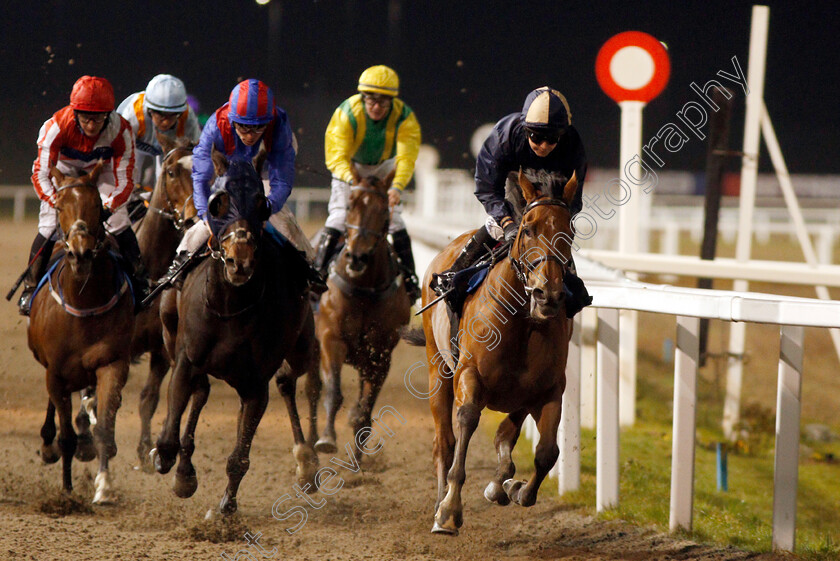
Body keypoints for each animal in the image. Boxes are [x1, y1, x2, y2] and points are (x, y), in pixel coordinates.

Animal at [26, 162, 136, 504]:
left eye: (98, 205)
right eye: (61, 206)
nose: (81, 253)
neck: (84, 299)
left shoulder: (111, 363)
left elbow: (105, 427)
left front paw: (103, 485)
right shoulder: (56, 372)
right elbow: (66, 437)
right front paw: (66, 492)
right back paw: (48, 444)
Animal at [151, 151, 322, 516]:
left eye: (260, 203)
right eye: (218, 202)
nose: (239, 259)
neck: (230, 305)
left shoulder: (256, 384)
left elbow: (239, 457)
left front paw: (226, 507)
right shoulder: (186, 359)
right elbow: (172, 430)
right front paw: (171, 462)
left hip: (300, 346)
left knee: (294, 376)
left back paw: (307, 461)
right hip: (171, 330)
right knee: (200, 391)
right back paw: (183, 469)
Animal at [312, 171, 410, 456]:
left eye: (384, 212)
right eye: (350, 206)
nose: (357, 257)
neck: (364, 290)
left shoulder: (380, 355)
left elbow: (364, 411)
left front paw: (357, 454)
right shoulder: (330, 339)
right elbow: (333, 392)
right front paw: (327, 439)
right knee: (312, 391)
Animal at [402, 168, 576, 532]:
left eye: (569, 231)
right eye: (528, 229)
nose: (548, 294)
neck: (522, 323)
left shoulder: (549, 389)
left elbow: (546, 452)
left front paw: (516, 489)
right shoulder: (469, 374)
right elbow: (468, 419)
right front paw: (449, 509)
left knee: (505, 436)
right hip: (437, 368)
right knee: (444, 442)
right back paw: (440, 504)